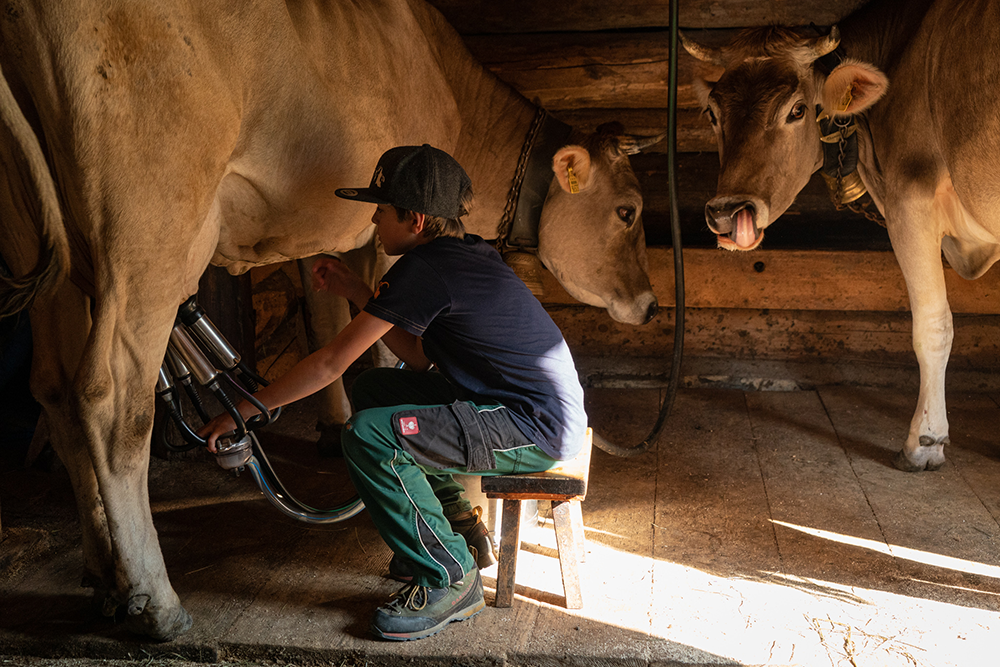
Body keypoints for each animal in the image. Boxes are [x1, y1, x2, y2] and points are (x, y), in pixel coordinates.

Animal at [0, 0, 660, 640]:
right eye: (628, 210)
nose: (652, 304)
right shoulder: (391, 247)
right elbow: (392, 348)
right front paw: (465, 516)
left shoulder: (321, 232)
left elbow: (325, 320)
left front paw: (334, 425)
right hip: (149, 231)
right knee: (113, 406)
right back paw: (154, 601)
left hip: (45, 251)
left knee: (55, 392)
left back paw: (104, 577)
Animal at [684, 0, 1000, 472]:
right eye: (713, 114)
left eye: (796, 110)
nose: (726, 213)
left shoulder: (910, 201)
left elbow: (932, 327)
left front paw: (925, 442)